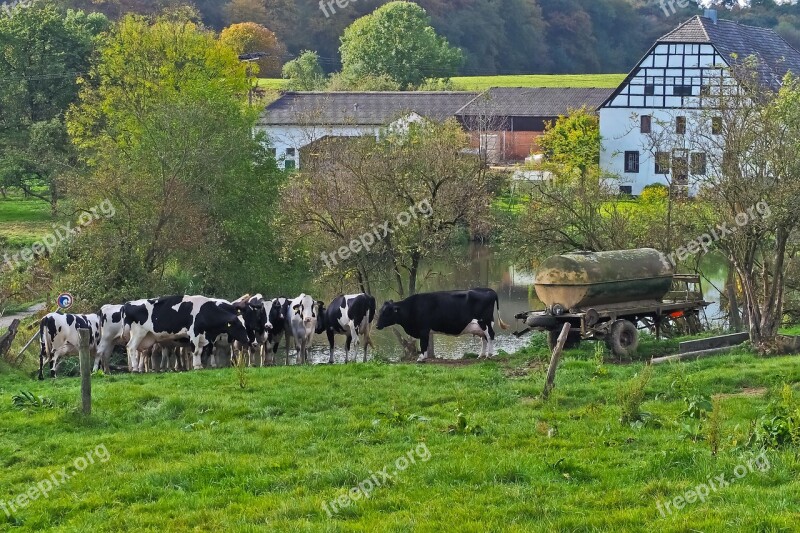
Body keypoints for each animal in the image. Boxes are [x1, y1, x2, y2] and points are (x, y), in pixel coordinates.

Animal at [122, 296, 256, 370]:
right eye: (240, 326)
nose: (250, 340)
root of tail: (127, 304)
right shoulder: (194, 333)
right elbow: (196, 351)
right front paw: (197, 366)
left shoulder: (203, 336)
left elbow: (200, 351)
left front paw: (199, 365)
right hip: (139, 333)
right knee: (131, 348)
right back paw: (135, 368)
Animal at [376, 286, 506, 362]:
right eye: (380, 311)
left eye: (386, 312)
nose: (377, 326)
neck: (411, 308)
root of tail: (488, 289)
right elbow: (425, 344)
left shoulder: (423, 329)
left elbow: (423, 344)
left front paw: (421, 358)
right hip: (481, 325)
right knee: (484, 338)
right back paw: (481, 355)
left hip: (485, 321)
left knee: (490, 336)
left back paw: (489, 355)